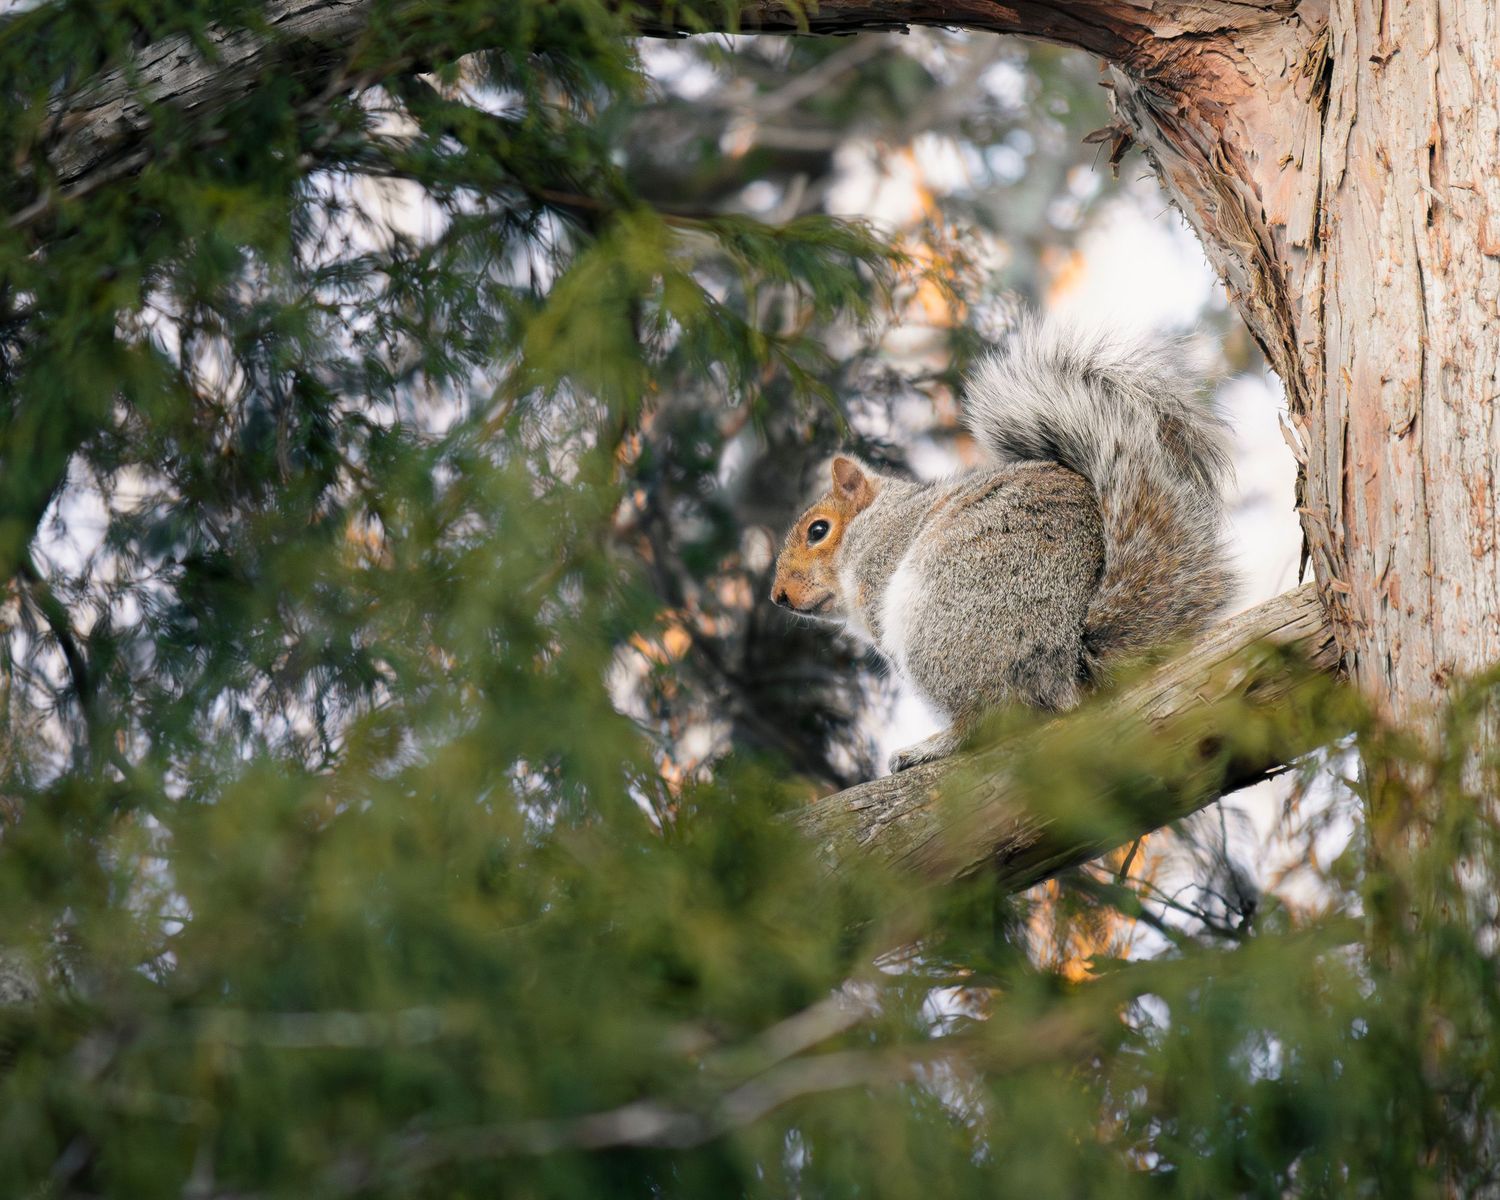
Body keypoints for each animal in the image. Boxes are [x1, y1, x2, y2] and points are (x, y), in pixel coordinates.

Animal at [770, 316, 1235, 774]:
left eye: (818, 530)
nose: (778, 597)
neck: (873, 524)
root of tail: (1069, 664)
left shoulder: (882, 558)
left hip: (941, 630)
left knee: (987, 716)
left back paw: (933, 745)